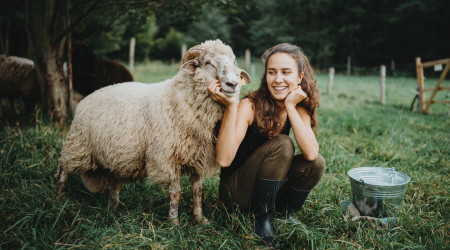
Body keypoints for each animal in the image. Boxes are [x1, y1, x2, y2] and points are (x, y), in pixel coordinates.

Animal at [55, 40, 251, 226]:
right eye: (208, 62)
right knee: (63, 164)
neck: (180, 99)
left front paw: (200, 219)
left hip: (111, 155)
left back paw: (113, 207)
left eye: (234, 61)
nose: (233, 84)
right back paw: (60, 193)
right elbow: (175, 192)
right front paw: (174, 223)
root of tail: (86, 99)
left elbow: (198, 190)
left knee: (112, 182)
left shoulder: (198, 156)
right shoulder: (166, 158)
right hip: (79, 144)